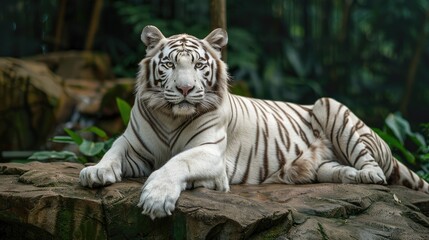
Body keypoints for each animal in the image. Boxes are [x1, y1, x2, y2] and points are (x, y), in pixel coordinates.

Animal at [79, 25, 428, 219]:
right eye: (169, 64)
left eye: (199, 65)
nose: (185, 89)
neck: (171, 116)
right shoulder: (132, 145)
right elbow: (112, 151)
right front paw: (95, 171)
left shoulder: (210, 152)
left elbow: (178, 162)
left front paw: (157, 198)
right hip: (318, 165)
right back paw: (345, 175)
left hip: (331, 106)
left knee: (377, 173)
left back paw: (364, 175)